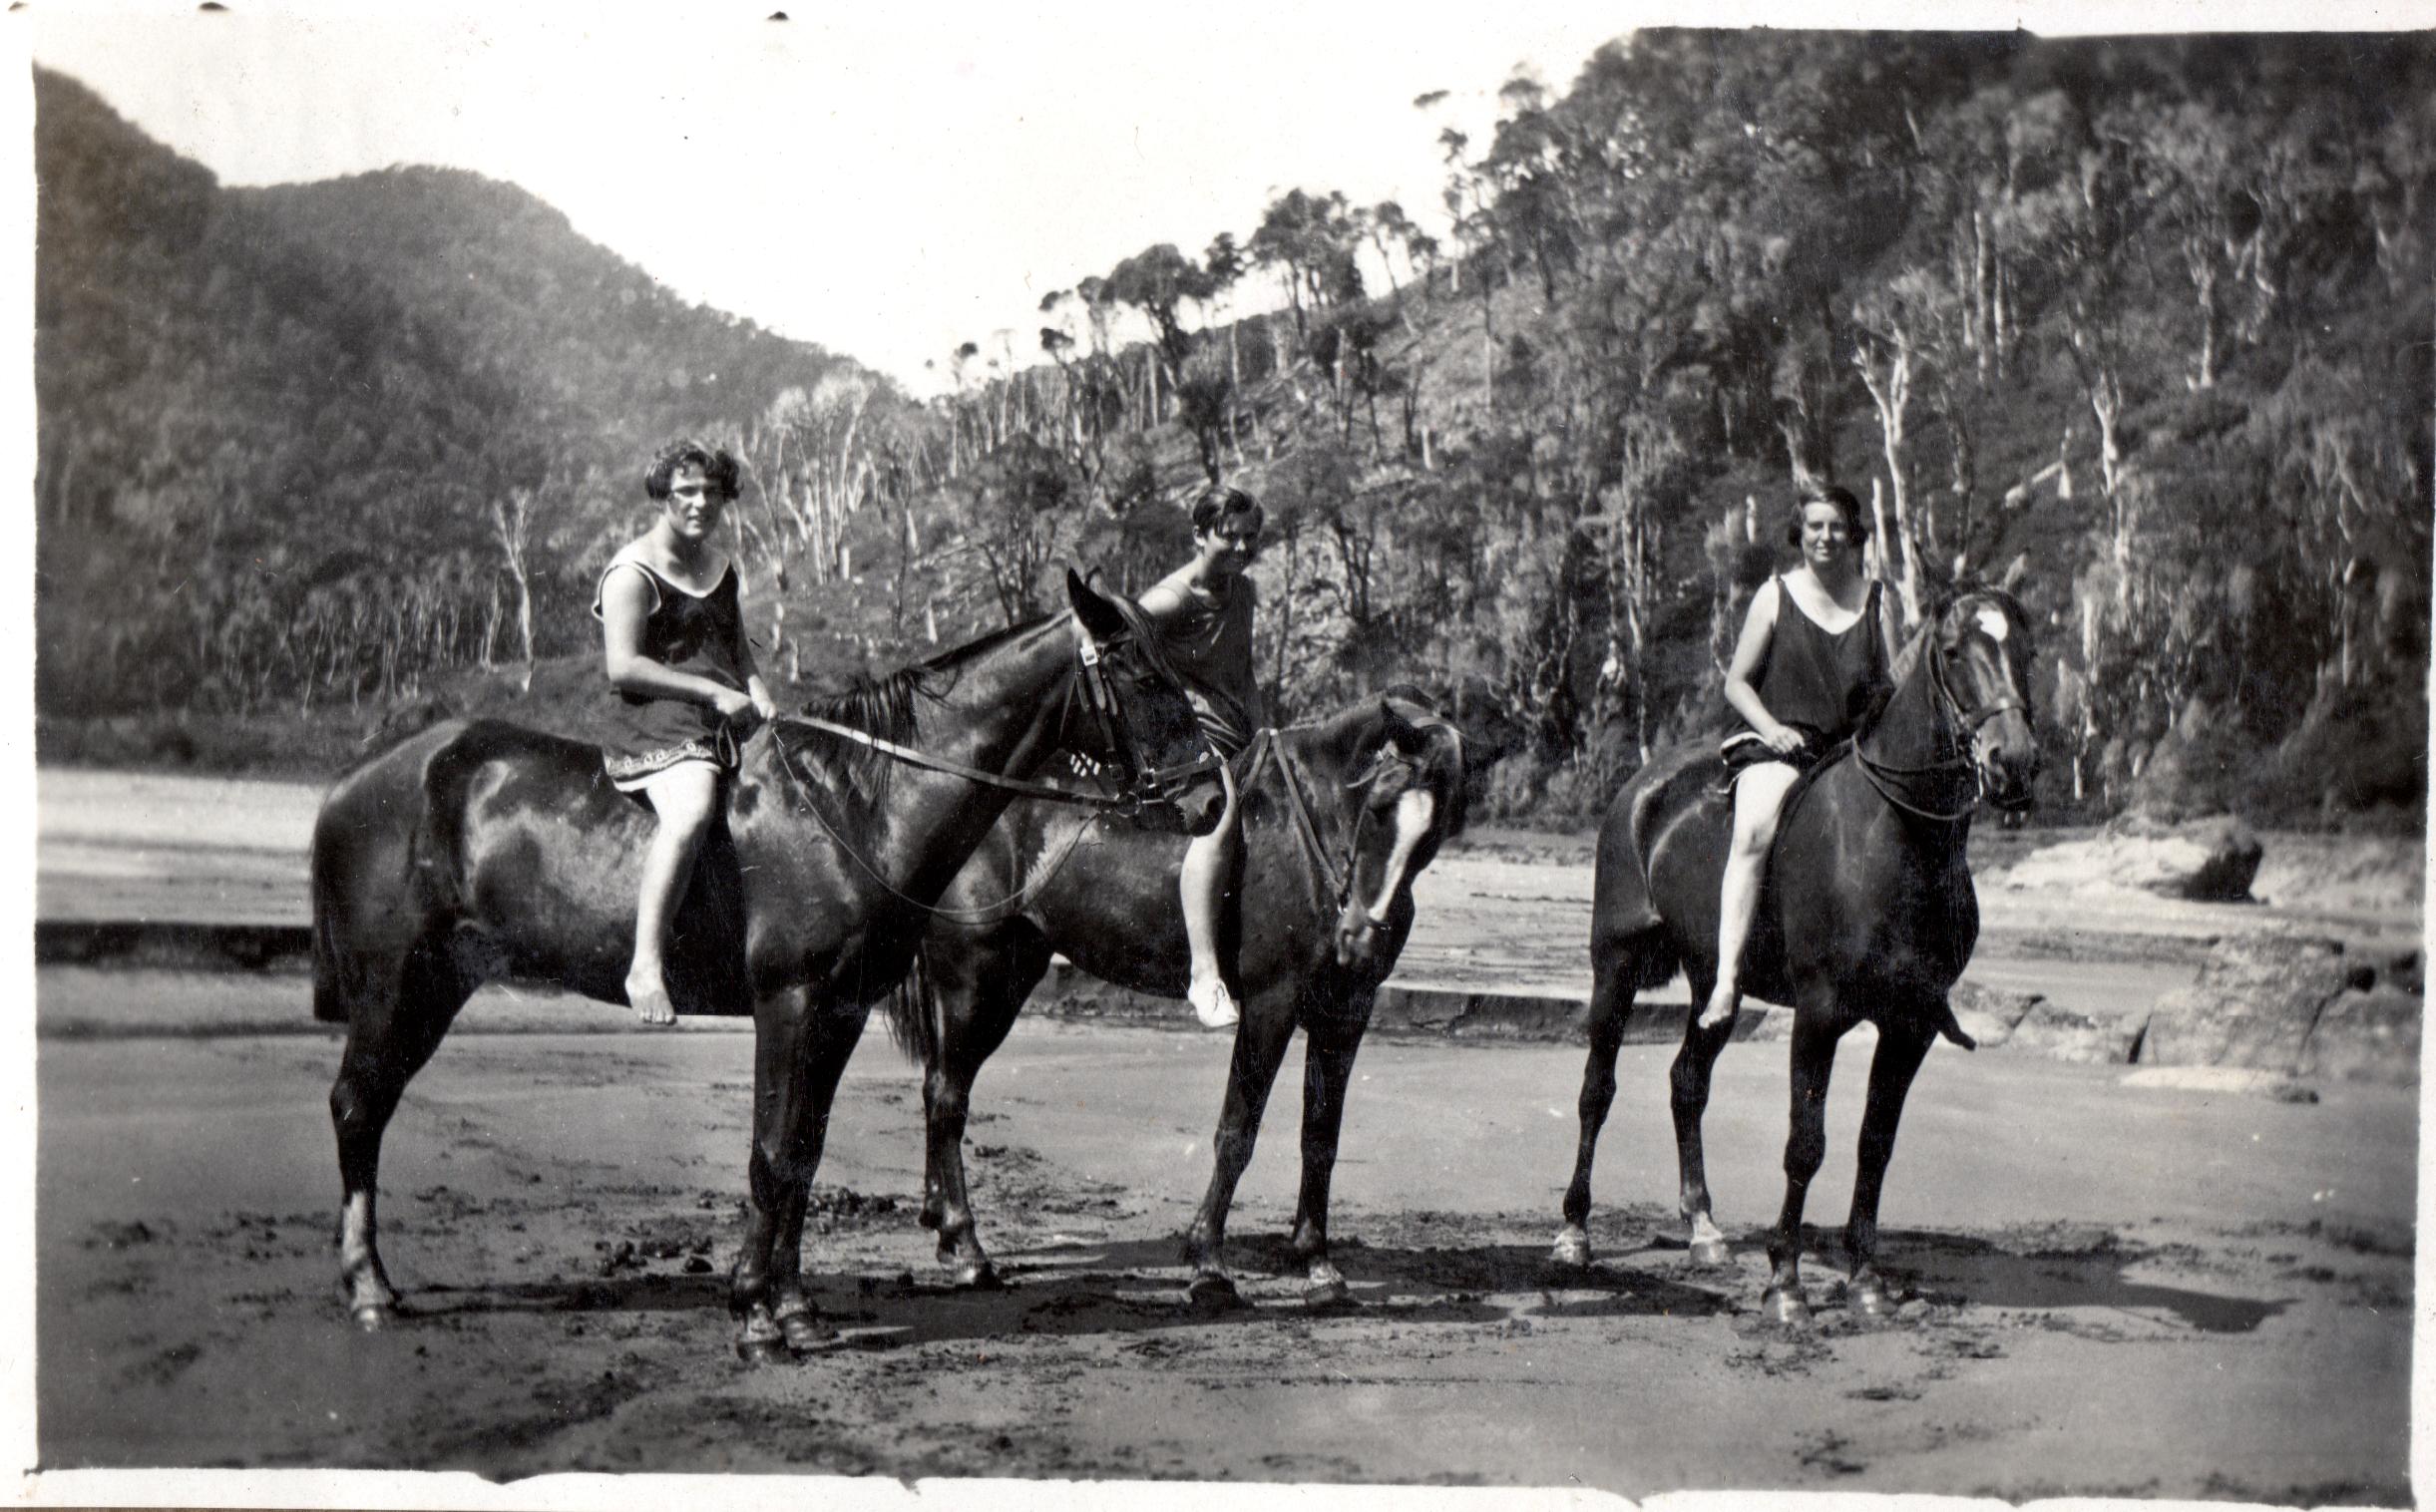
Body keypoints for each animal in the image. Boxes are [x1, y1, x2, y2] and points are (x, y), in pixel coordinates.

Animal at [314, 571, 1227, 1363]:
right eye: (1138, 670)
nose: (1210, 799)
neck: (856, 803)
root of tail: (366, 777)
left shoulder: (839, 1010)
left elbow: (804, 1152)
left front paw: (792, 1309)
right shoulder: (791, 1003)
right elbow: (773, 1153)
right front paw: (755, 1315)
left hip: (436, 985)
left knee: (371, 1106)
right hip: (396, 986)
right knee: (358, 1108)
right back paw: (367, 1286)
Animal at [896, 691, 1461, 1305]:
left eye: (1434, 830)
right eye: (1378, 806)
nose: (1358, 938)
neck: (1311, 829)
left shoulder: (1346, 1015)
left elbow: (1321, 1139)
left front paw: (1317, 1263)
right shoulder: (1271, 1005)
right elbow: (1238, 1130)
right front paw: (1208, 1263)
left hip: (1005, 977)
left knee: (939, 1084)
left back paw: (941, 1223)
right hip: (975, 978)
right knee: (948, 1095)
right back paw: (967, 1247)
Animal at [1549, 583, 2046, 1315]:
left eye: (2026, 651)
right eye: (1955, 652)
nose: (2013, 762)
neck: (1894, 836)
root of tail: (1642, 790)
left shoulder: (1911, 1024)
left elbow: (1875, 1145)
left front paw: (1865, 1278)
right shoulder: (1820, 1013)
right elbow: (1805, 1143)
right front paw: (1785, 1282)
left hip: (1711, 983)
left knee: (1687, 1083)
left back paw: (1703, 1228)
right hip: (1614, 967)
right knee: (1596, 1091)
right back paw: (1575, 1232)